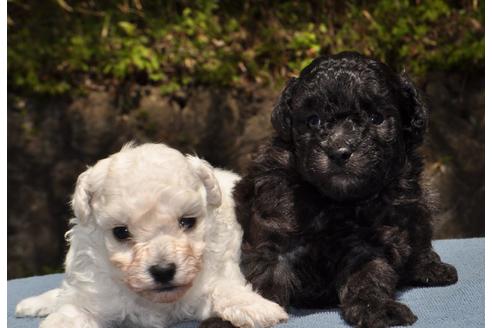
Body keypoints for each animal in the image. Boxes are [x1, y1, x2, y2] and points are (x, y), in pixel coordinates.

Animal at [15, 144, 286, 328]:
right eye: (120, 232)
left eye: (188, 222)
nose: (163, 271)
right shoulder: (93, 293)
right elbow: (71, 311)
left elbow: (223, 287)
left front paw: (255, 306)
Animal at [234, 52, 458, 326]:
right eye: (313, 120)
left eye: (375, 118)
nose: (339, 152)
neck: (336, 201)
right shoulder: (276, 230)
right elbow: (265, 274)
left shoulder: (368, 243)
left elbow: (368, 276)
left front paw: (376, 308)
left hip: (419, 202)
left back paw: (432, 268)